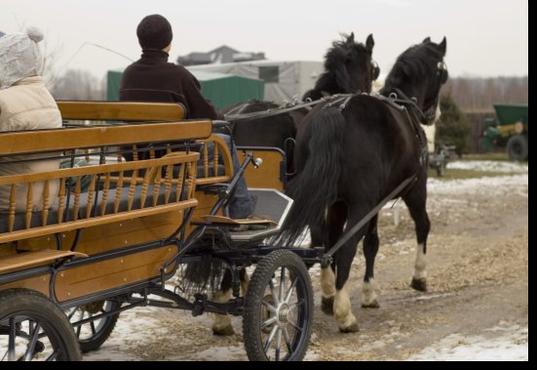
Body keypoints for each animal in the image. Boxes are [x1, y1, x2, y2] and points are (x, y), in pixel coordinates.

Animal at [280, 37, 448, 332]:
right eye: (443, 74)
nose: (431, 115)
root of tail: (335, 111)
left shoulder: (349, 203)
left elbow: (363, 242)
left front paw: (359, 293)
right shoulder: (413, 189)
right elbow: (420, 226)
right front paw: (418, 276)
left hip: (324, 198)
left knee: (322, 240)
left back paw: (329, 294)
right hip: (363, 203)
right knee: (347, 245)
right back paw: (344, 314)